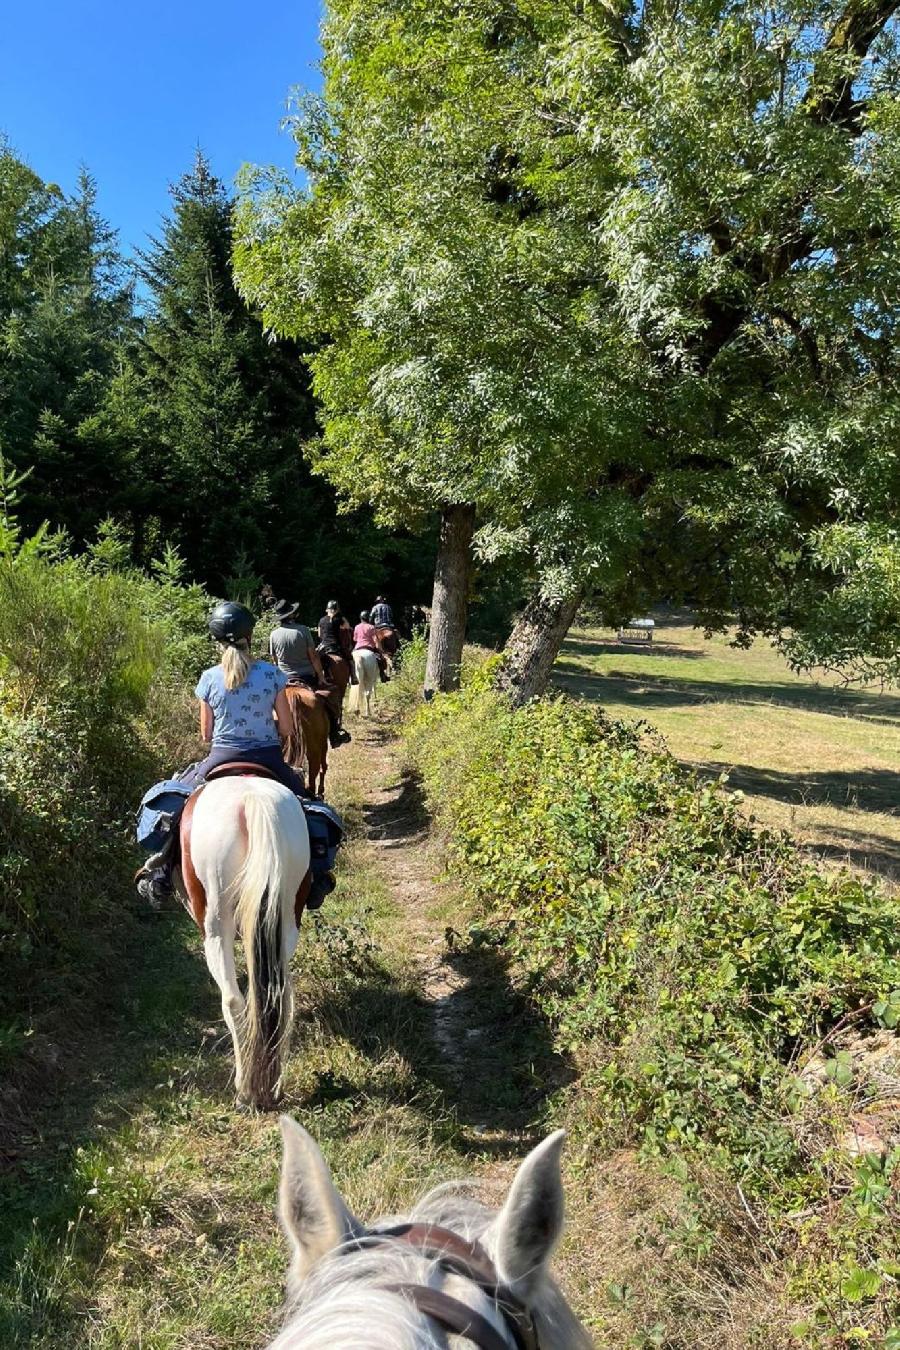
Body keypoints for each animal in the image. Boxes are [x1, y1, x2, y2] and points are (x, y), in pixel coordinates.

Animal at [178, 772, 311, 1107]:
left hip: (215, 925)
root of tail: (252, 801)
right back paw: (274, 1085)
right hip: (285, 918)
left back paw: (245, 1089)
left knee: (234, 999)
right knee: (280, 998)